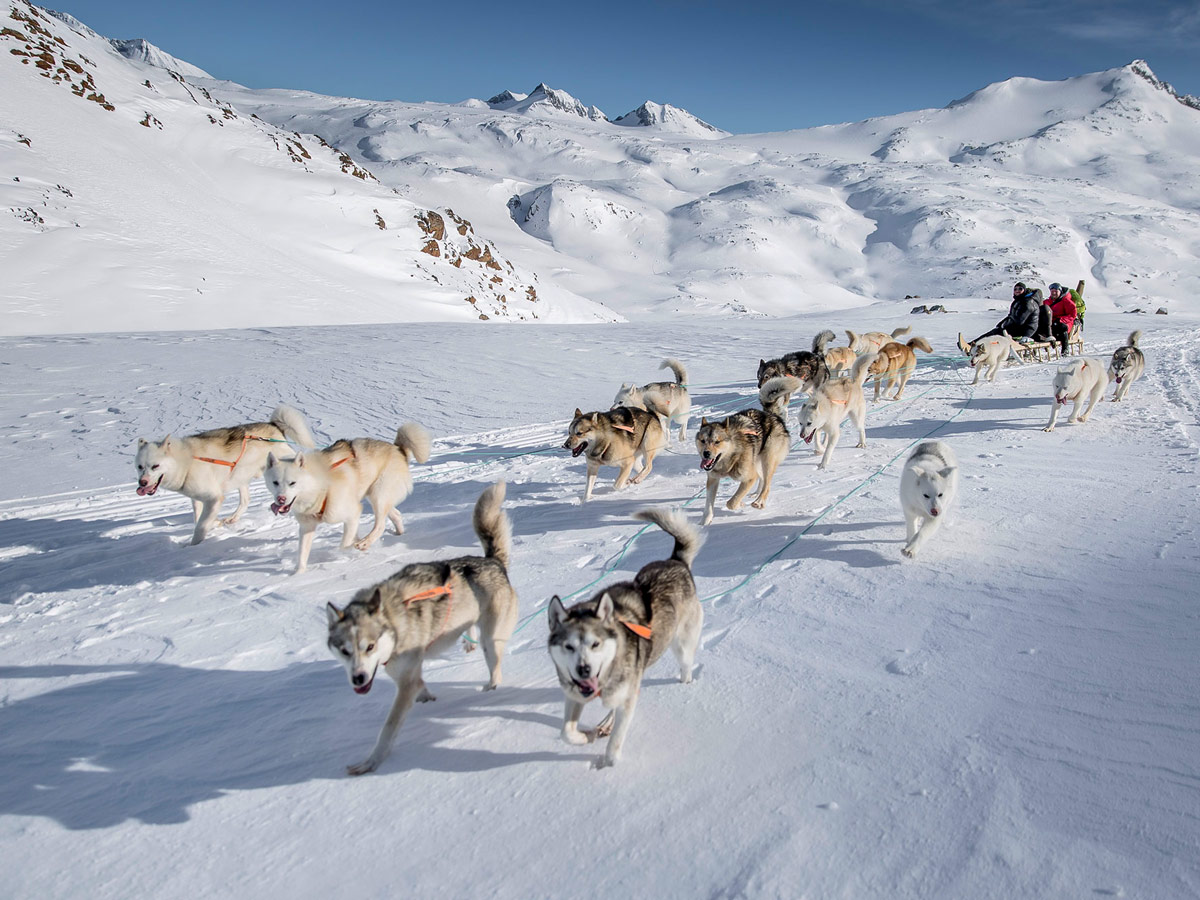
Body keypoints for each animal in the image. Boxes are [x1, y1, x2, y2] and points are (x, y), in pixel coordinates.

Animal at [133, 408, 316, 547]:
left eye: (155, 466)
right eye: (140, 467)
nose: (142, 483)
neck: (187, 461)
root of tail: (273, 425)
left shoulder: (214, 498)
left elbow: (200, 526)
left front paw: (193, 547)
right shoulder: (197, 498)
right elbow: (198, 518)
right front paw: (215, 523)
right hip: (240, 478)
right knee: (245, 501)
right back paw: (232, 518)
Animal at [262, 424, 432, 578]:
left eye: (292, 483)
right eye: (275, 482)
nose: (281, 499)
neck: (321, 487)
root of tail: (398, 449)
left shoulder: (353, 513)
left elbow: (344, 544)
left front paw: (351, 549)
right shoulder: (307, 527)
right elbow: (302, 554)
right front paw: (298, 575)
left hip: (379, 496)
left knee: (380, 525)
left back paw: (365, 543)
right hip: (377, 497)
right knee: (396, 515)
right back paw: (399, 533)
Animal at [326, 482, 518, 777]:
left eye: (369, 646)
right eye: (345, 651)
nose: (358, 679)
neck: (393, 620)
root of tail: (493, 562)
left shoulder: (405, 683)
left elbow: (388, 729)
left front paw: (371, 762)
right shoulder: (407, 675)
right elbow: (421, 686)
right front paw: (427, 697)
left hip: (492, 640)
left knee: (495, 668)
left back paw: (491, 689)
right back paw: (468, 643)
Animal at [547, 508, 700, 768]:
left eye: (595, 644)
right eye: (569, 646)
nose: (584, 670)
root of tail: (675, 561)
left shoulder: (627, 698)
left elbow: (616, 740)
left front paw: (609, 765)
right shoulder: (574, 693)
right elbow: (566, 732)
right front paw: (585, 737)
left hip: (682, 645)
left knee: (686, 666)